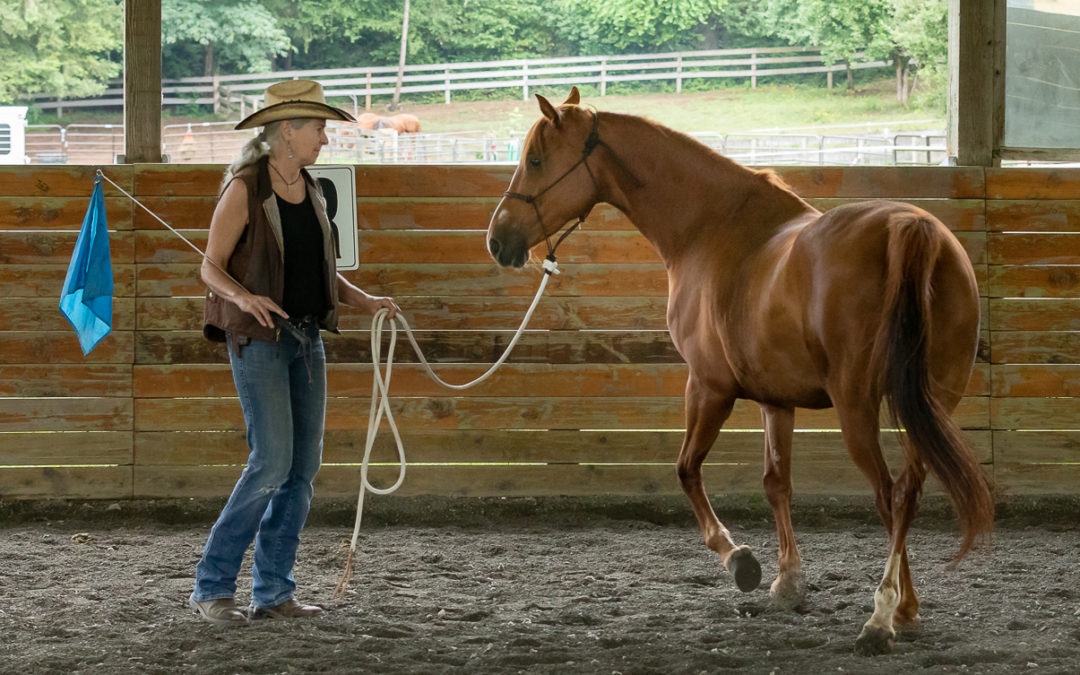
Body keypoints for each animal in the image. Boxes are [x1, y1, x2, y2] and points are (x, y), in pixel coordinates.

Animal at [490, 88, 993, 652]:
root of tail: (910, 227)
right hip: (930, 403)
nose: (498, 239)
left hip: (856, 405)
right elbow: (777, 483)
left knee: (892, 495)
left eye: (535, 160)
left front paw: (741, 561)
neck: (711, 228)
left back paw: (883, 614)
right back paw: (905, 608)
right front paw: (788, 581)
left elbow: (687, 470)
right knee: (910, 489)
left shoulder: (708, 387)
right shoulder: (777, 399)